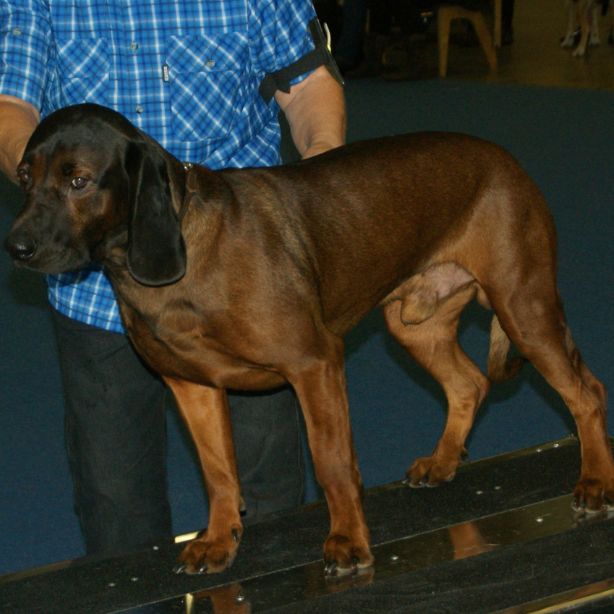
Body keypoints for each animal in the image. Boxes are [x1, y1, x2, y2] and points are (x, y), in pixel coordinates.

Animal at [4, 103, 614, 580]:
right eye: (24, 176)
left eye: (79, 180)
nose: (16, 247)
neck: (185, 256)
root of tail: (504, 160)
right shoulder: (192, 386)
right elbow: (218, 474)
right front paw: (219, 540)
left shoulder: (314, 364)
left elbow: (333, 464)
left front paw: (348, 542)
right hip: (413, 325)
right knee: (469, 384)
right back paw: (443, 463)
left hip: (524, 308)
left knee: (586, 392)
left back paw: (595, 482)